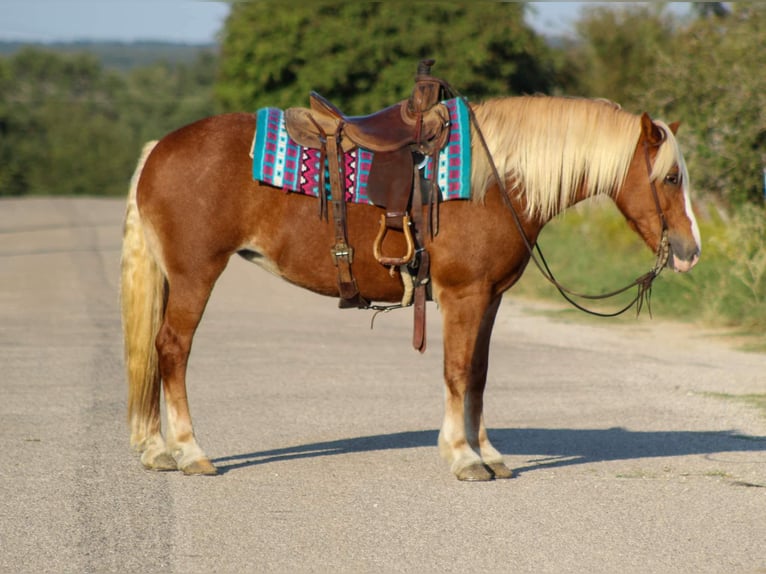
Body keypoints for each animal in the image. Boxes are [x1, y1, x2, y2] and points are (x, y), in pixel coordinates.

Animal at [120, 94, 701, 481]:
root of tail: (157, 150)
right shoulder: (463, 295)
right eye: (671, 179)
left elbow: (479, 375)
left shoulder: (490, 298)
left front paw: (488, 453)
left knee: (157, 350)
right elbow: (457, 371)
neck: (495, 181)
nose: (690, 250)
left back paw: (157, 449)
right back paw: (190, 452)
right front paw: (463, 457)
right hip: (197, 275)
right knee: (173, 350)